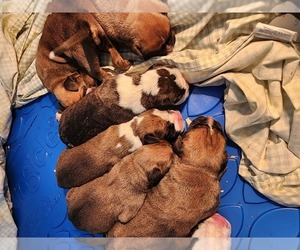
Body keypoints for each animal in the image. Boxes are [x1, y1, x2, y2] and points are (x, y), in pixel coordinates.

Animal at [36, 12, 176, 108]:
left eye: (83, 92)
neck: (56, 79)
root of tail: (80, 25)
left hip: (91, 41)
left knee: (101, 67)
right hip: (98, 35)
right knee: (110, 59)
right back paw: (123, 65)